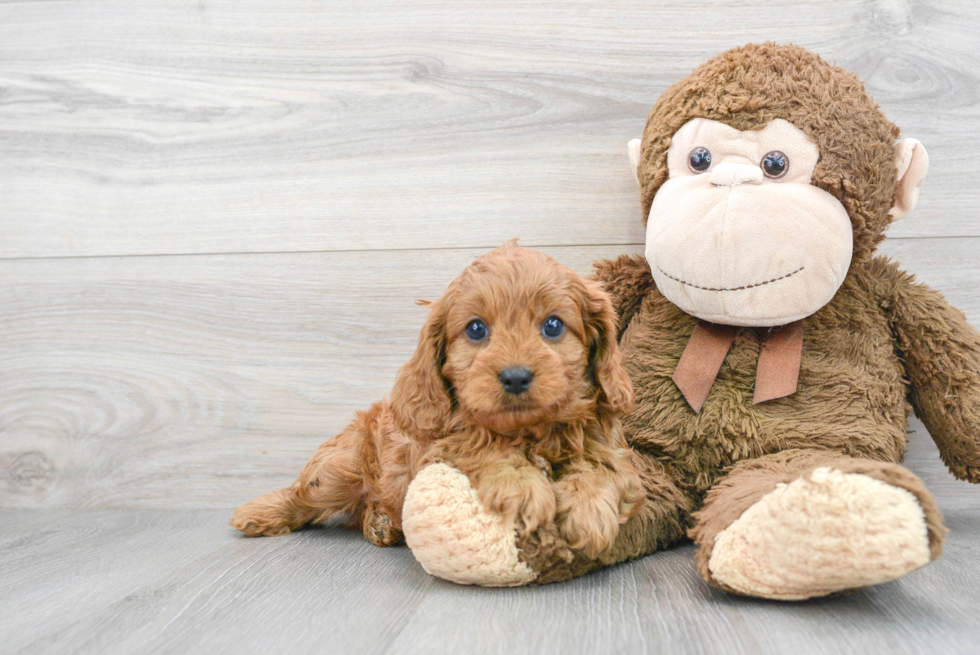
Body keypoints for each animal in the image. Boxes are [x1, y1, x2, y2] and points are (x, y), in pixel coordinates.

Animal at [230, 243, 644, 560]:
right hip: (339, 467)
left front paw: (589, 512)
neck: (529, 431)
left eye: (553, 325)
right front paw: (524, 489)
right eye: (476, 328)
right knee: (304, 494)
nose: (515, 376)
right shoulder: (435, 450)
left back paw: (379, 523)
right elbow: (484, 446)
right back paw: (258, 512)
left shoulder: (613, 449)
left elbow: (601, 468)